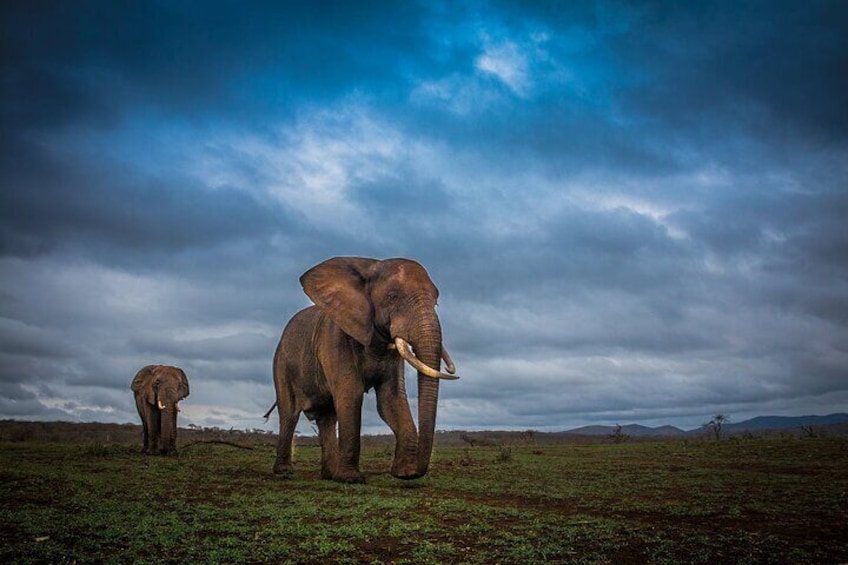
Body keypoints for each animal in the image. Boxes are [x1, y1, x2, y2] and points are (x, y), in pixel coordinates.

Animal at [268, 256, 460, 480]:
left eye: (436, 301)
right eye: (393, 297)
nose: (417, 472)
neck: (371, 266)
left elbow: (391, 399)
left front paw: (404, 474)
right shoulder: (334, 337)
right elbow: (351, 393)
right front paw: (351, 479)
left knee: (327, 418)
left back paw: (329, 475)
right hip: (281, 363)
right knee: (289, 413)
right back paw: (284, 473)